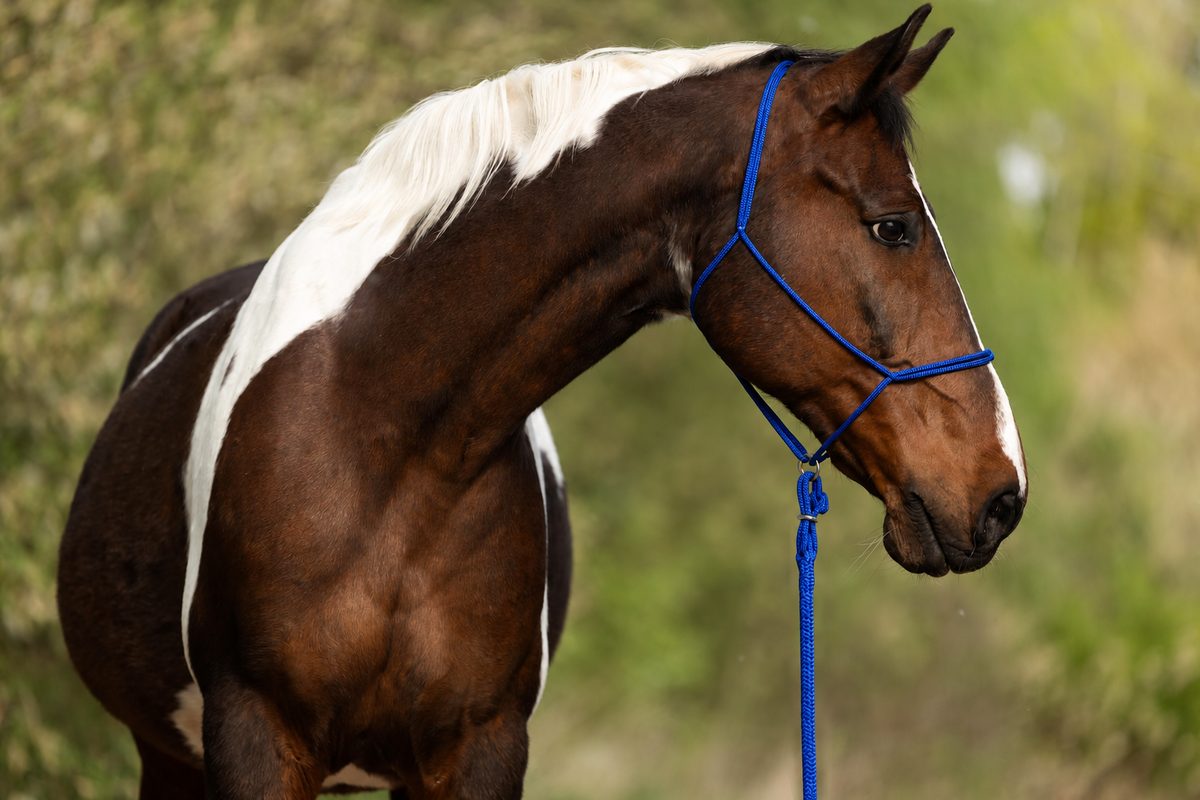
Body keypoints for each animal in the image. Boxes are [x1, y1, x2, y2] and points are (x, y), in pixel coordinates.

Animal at [57, 5, 1026, 798]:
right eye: (892, 226)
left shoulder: (479, 751)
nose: (1002, 493)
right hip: (169, 759)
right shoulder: (254, 740)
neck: (384, 445)